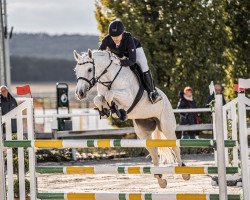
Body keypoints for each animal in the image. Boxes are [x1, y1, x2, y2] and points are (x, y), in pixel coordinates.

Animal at [73, 49, 190, 187]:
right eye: (76, 70)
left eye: (90, 69)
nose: (80, 93)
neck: (109, 78)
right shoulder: (102, 95)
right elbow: (99, 98)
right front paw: (106, 110)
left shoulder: (127, 97)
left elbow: (109, 94)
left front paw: (117, 110)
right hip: (143, 131)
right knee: (153, 150)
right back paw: (160, 178)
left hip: (166, 126)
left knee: (175, 146)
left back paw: (184, 173)